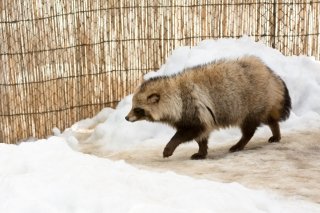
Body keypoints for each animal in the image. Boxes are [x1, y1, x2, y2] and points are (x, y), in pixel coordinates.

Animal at [124, 55, 290, 159]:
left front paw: (169, 147)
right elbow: (201, 135)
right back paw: (276, 131)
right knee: (269, 118)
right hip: (262, 102)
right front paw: (202, 151)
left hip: (251, 102)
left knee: (249, 128)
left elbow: (188, 132)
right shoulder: (200, 114)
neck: (175, 93)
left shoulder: (192, 108)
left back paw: (240, 143)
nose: (126, 118)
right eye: (132, 107)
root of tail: (269, 73)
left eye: (137, 109)